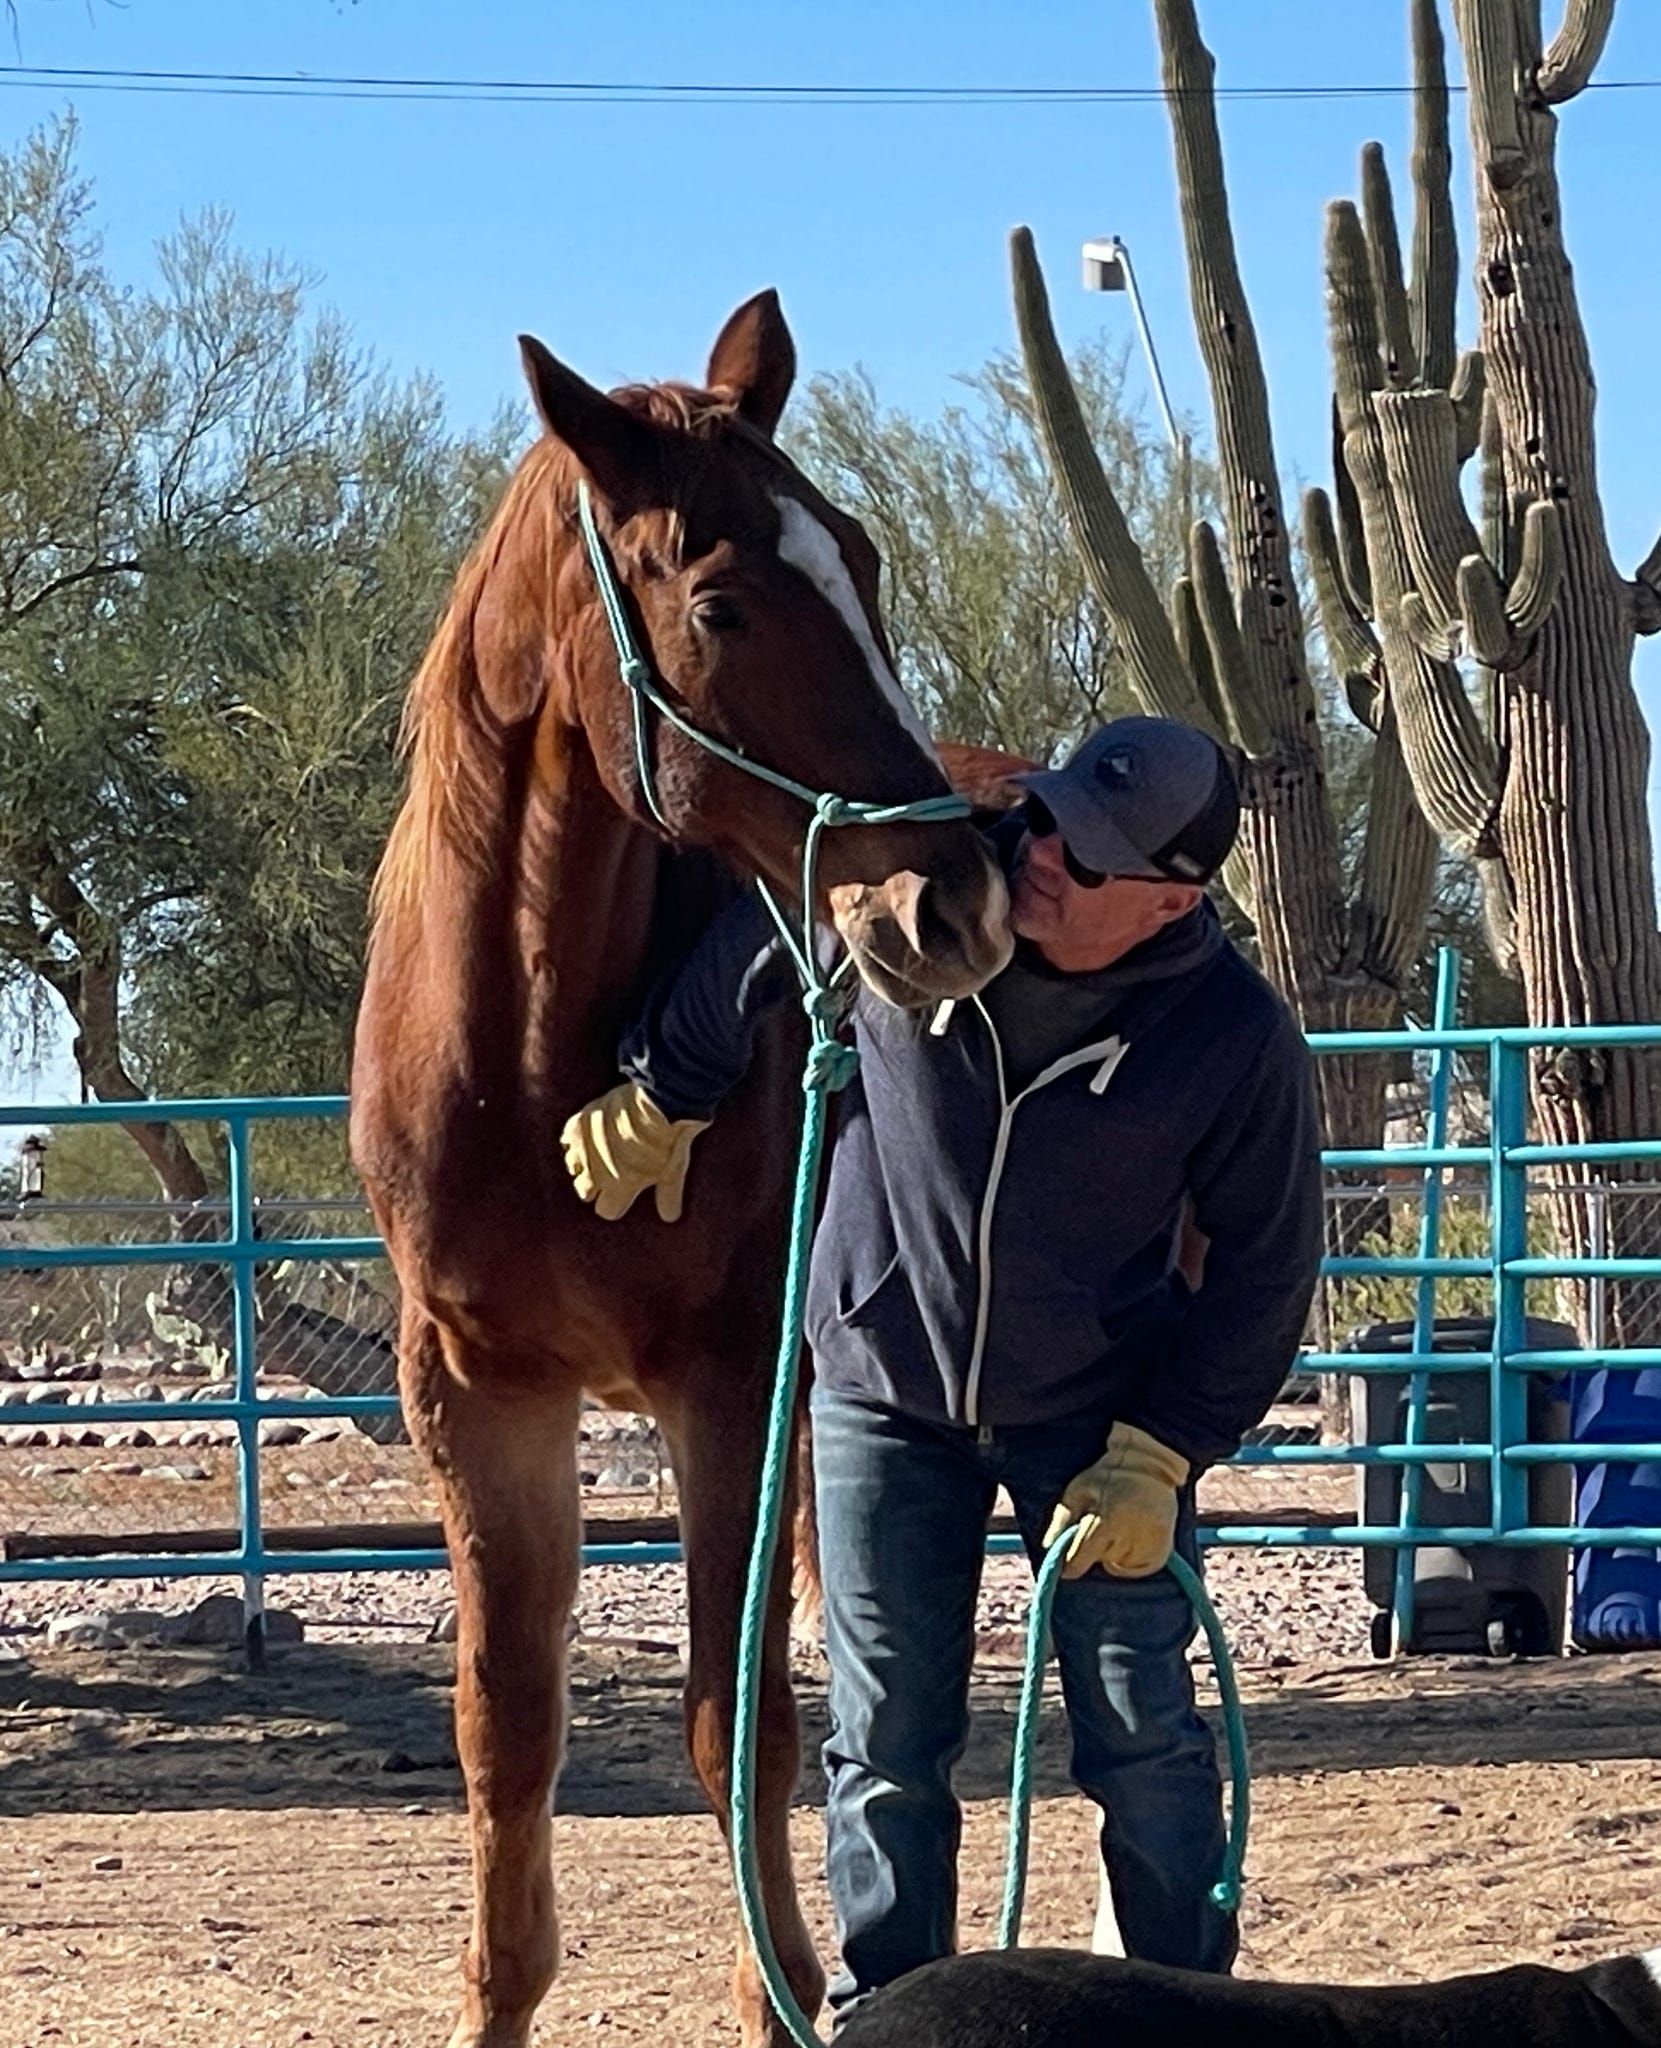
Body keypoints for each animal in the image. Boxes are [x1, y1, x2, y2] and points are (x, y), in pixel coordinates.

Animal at [349, 289, 1013, 2048]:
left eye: (863, 558)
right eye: (719, 600)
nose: (955, 899)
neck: (531, 1061)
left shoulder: (729, 1386)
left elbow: (739, 1725)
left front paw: (773, 1987)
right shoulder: (479, 1395)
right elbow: (507, 1729)